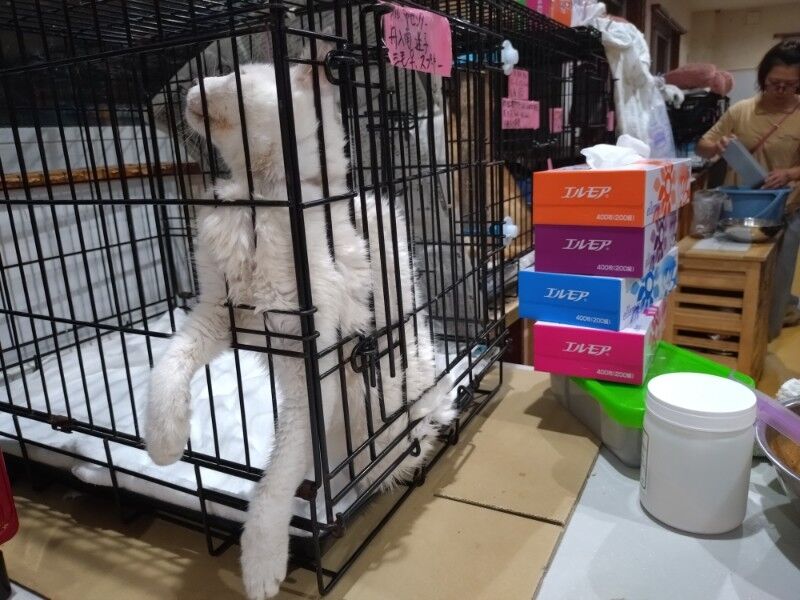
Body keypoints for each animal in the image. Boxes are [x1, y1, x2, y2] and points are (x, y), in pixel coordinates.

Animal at [144, 51, 456, 599]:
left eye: (240, 76)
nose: (190, 87)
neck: (261, 198)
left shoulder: (307, 360)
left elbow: (273, 485)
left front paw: (261, 566)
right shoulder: (216, 315)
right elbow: (168, 364)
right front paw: (163, 442)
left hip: (380, 411)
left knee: (385, 463)